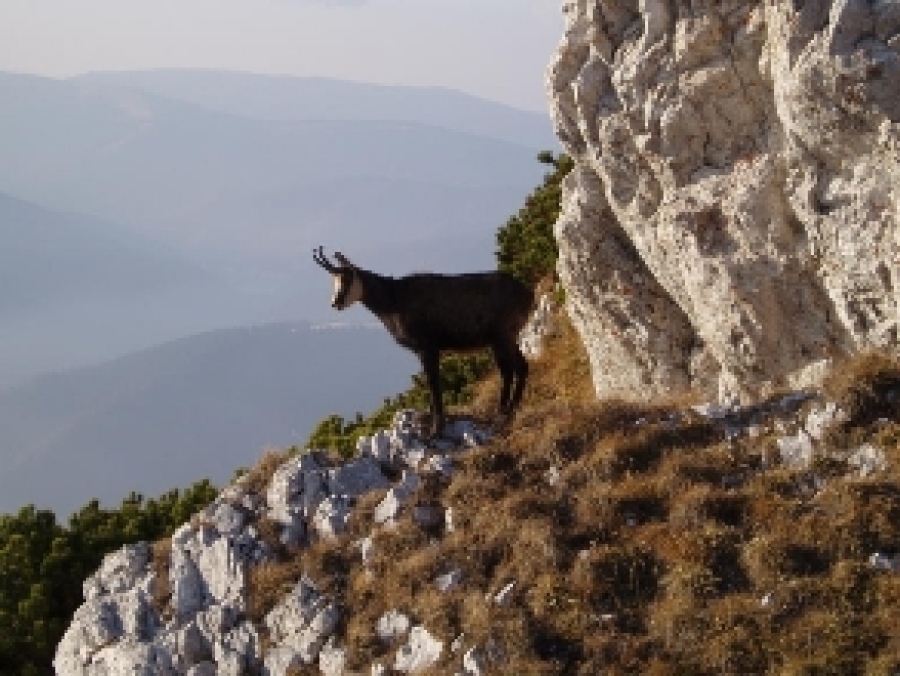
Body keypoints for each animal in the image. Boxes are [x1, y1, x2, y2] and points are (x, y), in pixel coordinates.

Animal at [313, 247, 534, 437]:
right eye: (333, 280)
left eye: (347, 277)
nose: (336, 302)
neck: (394, 299)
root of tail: (528, 294)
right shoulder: (423, 351)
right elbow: (430, 383)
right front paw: (429, 420)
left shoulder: (428, 348)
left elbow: (434, 383)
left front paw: (436, 429)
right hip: (500, 340)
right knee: (514, 369)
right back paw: (505, 411)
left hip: (502, 335)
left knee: (515, 368)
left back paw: (506, 412)